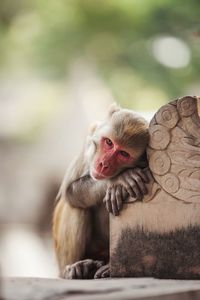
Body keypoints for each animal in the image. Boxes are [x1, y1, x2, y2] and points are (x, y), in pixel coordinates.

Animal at [52, 104, 149, 280]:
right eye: (109, 142)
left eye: (123, 153)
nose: (103, 164)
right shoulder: (89, 139)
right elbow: (69, 191)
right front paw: (118, 180)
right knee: (76, 207)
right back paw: (73, 268)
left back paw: (108, 267)